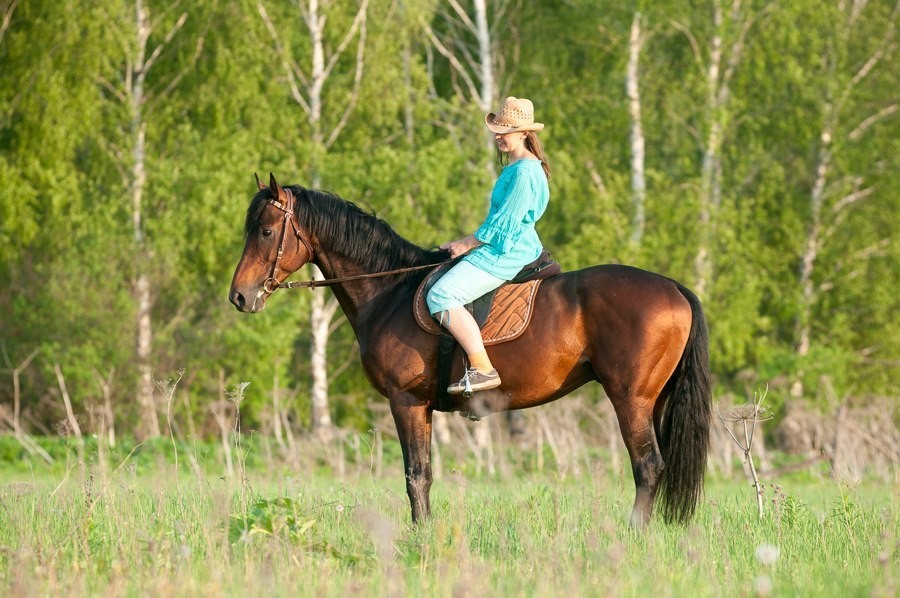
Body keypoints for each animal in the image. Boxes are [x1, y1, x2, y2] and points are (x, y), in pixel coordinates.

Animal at [230, 175, 712, 528]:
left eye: (266, 231)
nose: (239, 296)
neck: (389, 290)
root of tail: (674, 288)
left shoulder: (407, 401)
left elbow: (416, 475)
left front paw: (421, 537)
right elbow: (422, 474)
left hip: (631, 398)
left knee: (647, 466)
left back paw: (634, 533)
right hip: (654, 399)